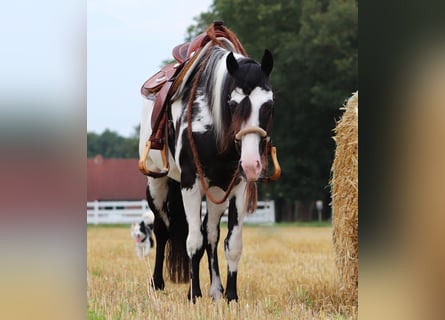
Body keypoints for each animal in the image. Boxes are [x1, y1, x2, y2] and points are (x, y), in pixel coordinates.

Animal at [137, 25, 280, 302]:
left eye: (269, 105)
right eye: (232, 103)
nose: (252, 164)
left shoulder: (237, 185)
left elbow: (231, 243)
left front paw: (231, 296)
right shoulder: (190, 182)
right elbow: (193, 242)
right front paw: (194, 295)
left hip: (216, 190)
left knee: (211, 234)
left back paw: (216, 289)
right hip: (156, 183)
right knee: (162, 229)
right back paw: (157, 283)